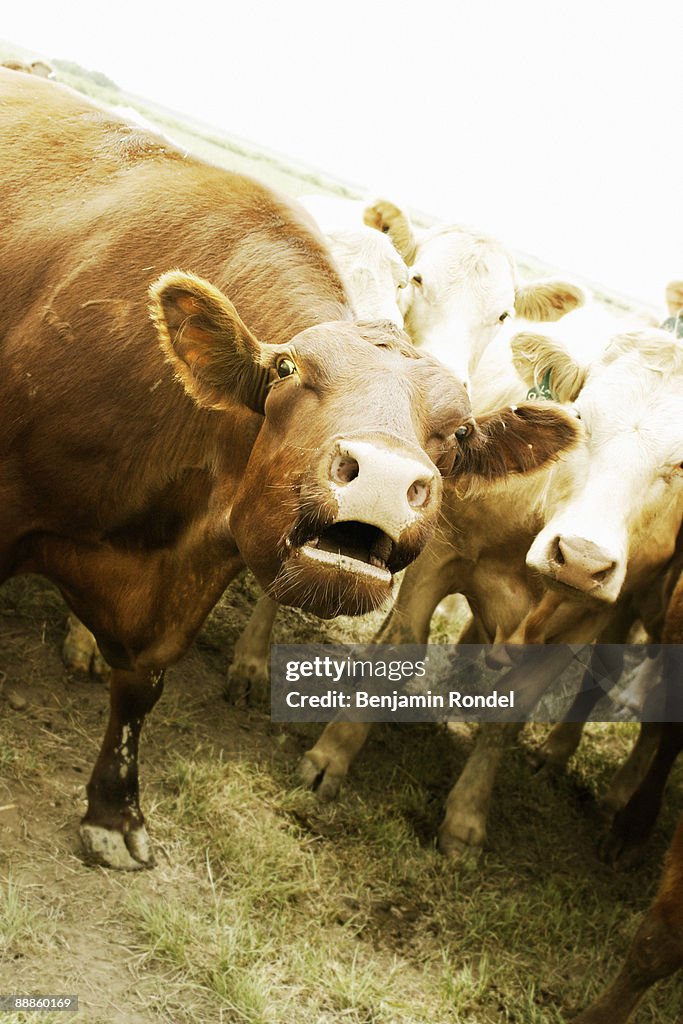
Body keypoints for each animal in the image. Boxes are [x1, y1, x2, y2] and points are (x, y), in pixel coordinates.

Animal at [0, 70, 579, 869]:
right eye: (286, 369)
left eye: (459, 431)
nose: (382, 478)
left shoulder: (193, 579)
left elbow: (142, 687)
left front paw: (114, 810)